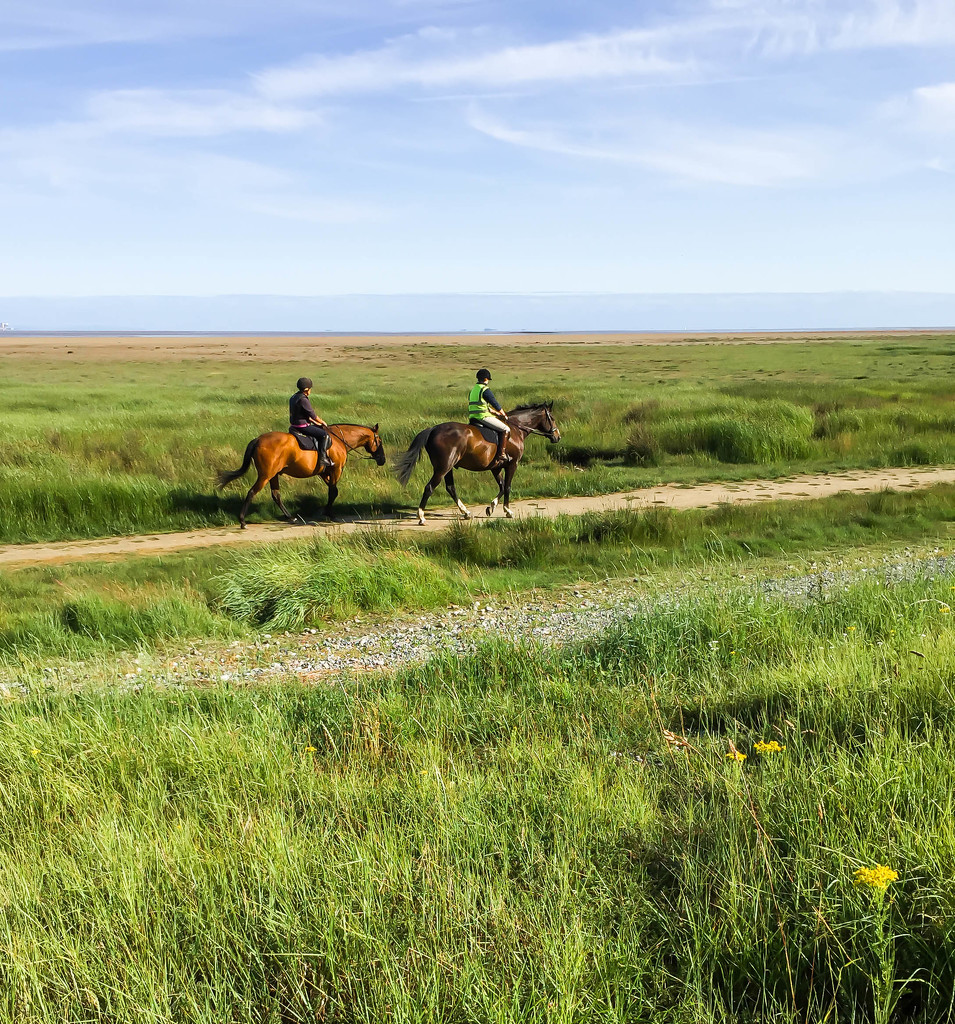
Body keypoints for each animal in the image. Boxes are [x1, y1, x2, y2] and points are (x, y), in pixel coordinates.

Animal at [218, 421, 384, 528]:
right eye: (379, 441)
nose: (382, 459)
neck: (338, 439)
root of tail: (258, 440)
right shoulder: (335, 470)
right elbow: (333, 492)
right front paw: (329, 513)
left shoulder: (324, 473)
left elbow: (332, 491)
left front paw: (325, 511)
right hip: (266, 475)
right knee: (252, 492)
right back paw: (242, 521)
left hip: (274, 475)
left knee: (276, 495)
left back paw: (290, 517)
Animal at [393, 401, 560, 524]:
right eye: (552, 418)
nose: (557, 437)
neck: (515, 429)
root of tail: (433, 429)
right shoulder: (512, 464)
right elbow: (507, 486)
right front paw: (507, 511)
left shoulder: (495, 467)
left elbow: (501, 486)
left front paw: (491, 508)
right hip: (443, 467)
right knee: (429, 488)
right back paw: (421, 517)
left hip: (448, 468)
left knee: (450, 488)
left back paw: (466, 512)